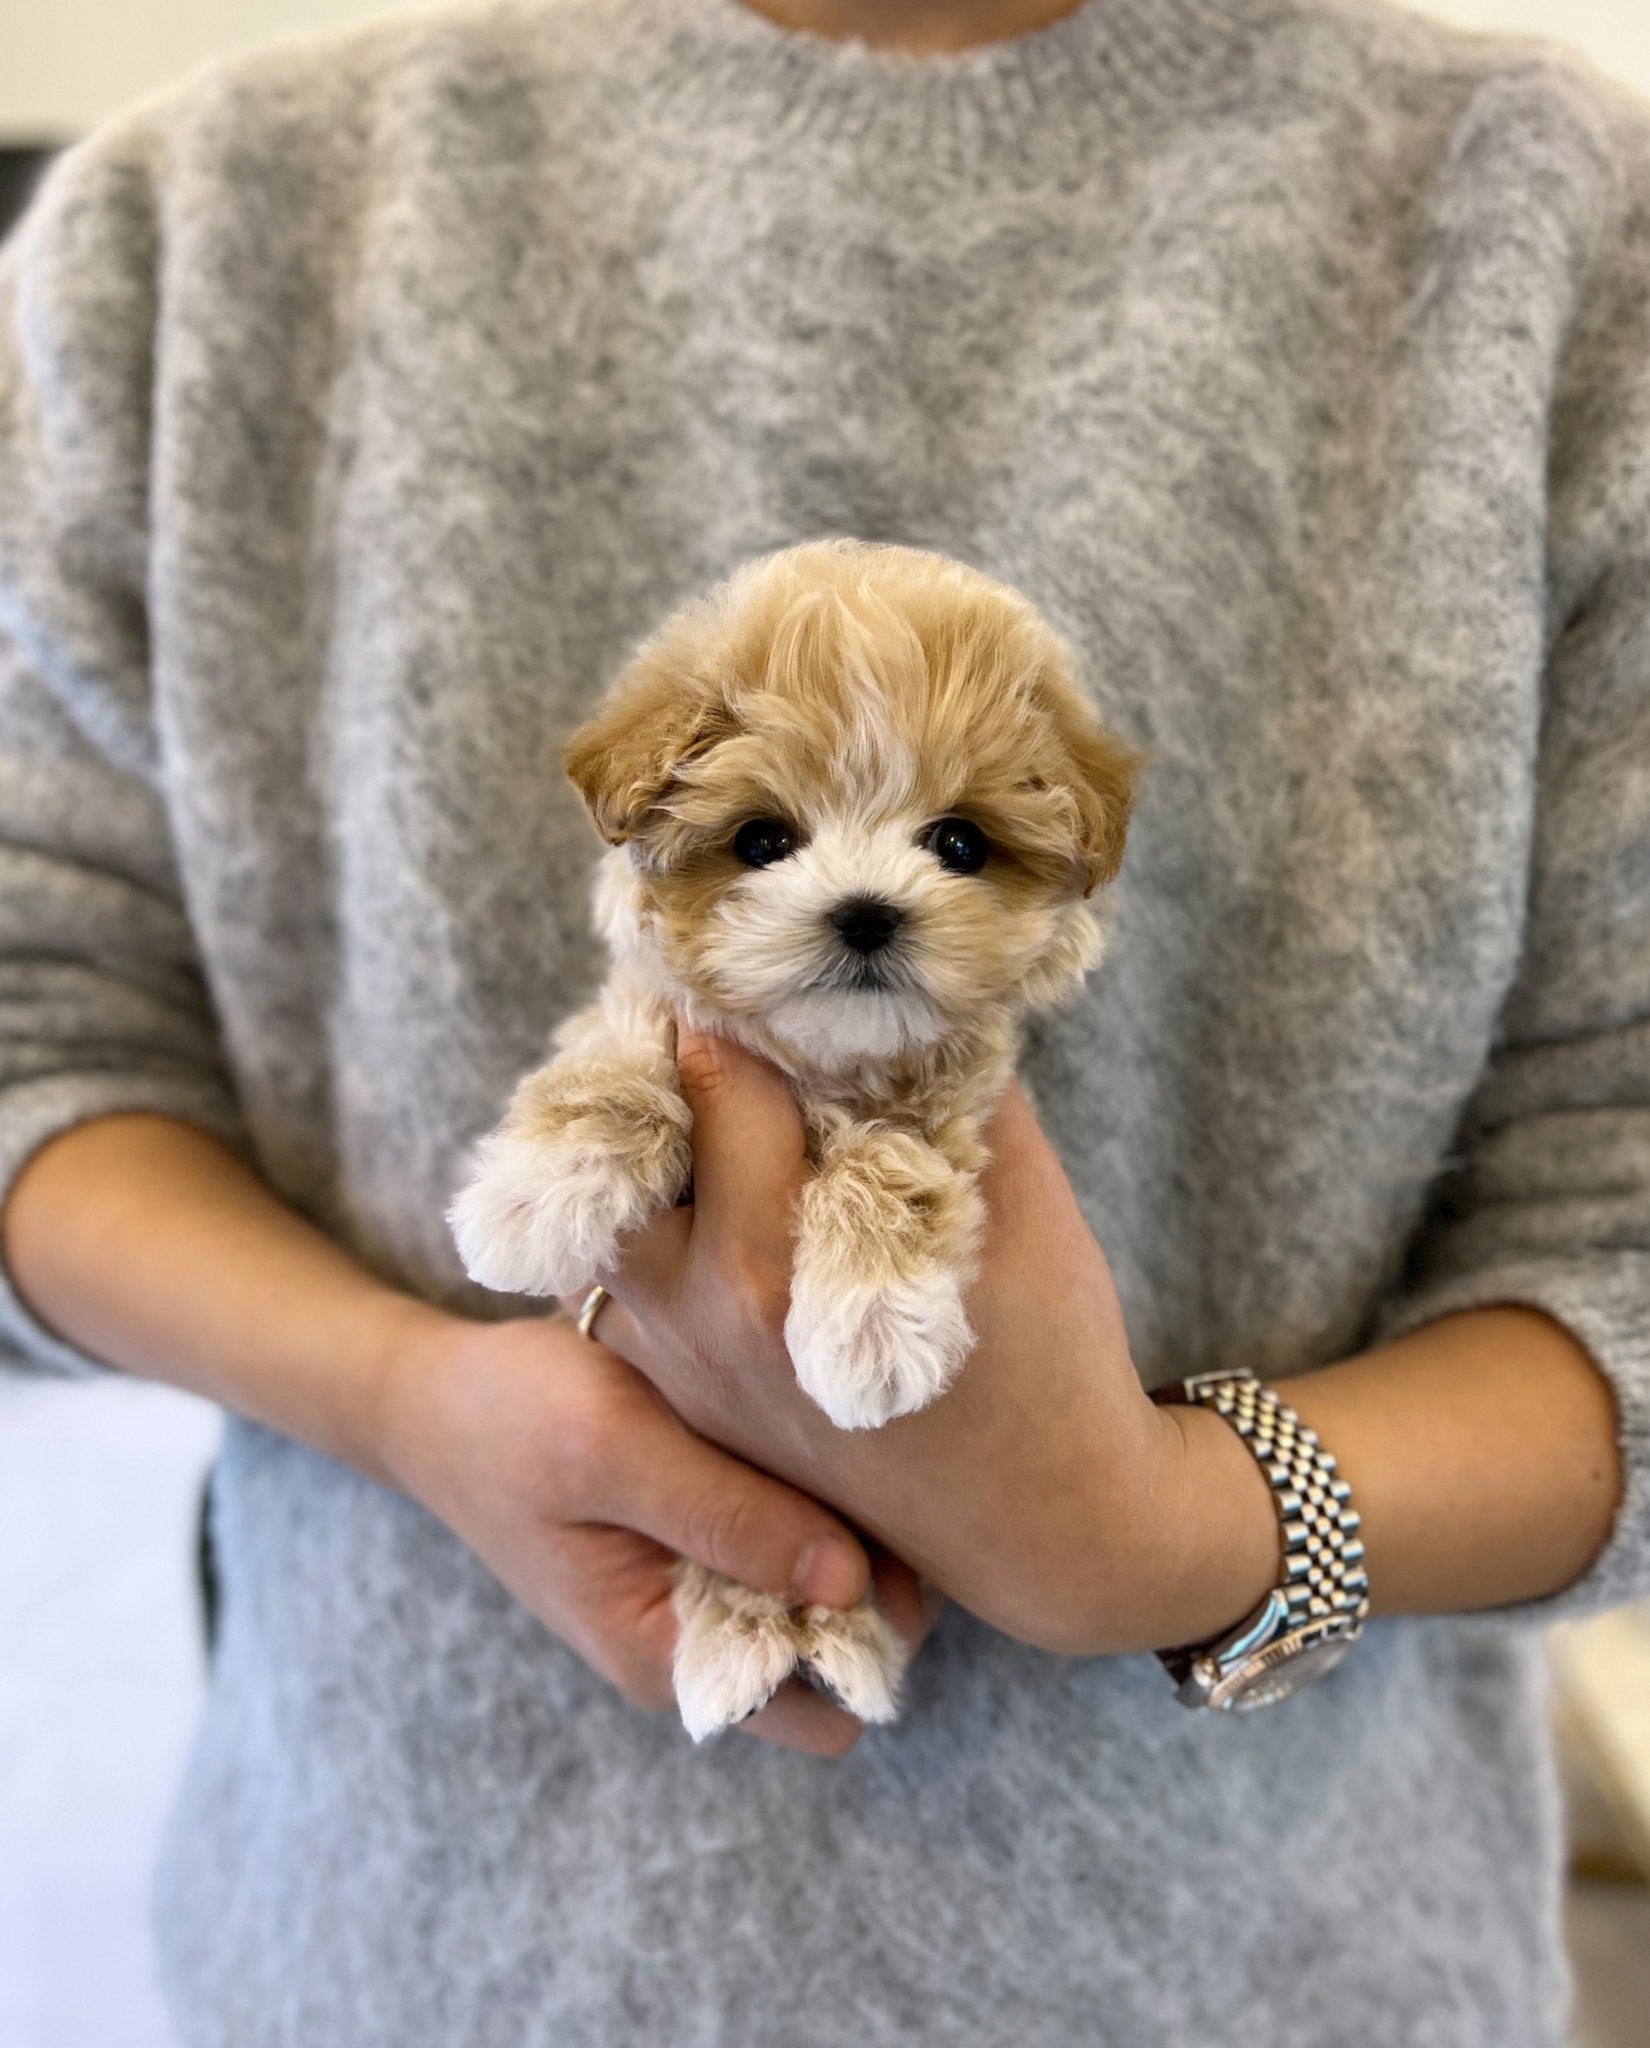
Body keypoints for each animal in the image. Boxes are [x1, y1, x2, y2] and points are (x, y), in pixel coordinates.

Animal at [456, 536, 1146, 1736]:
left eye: (959, 842)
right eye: (762, 839)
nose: (866, 910)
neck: (823, 1061)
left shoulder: (944, 1101)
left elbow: (887, 1164)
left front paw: (871, 1325)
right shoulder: (659, 1014)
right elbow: (617, 1067)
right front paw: (533, 1194)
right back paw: (742, 1641)